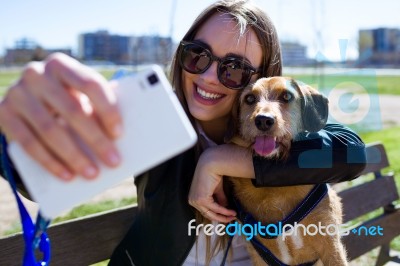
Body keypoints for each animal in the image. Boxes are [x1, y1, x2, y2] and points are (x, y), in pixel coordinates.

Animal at [227, 77, 348, 266]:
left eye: (286, 96)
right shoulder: (257, 255)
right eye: (249, 99)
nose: (263, 120)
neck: (275, 192)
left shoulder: (331, 246)